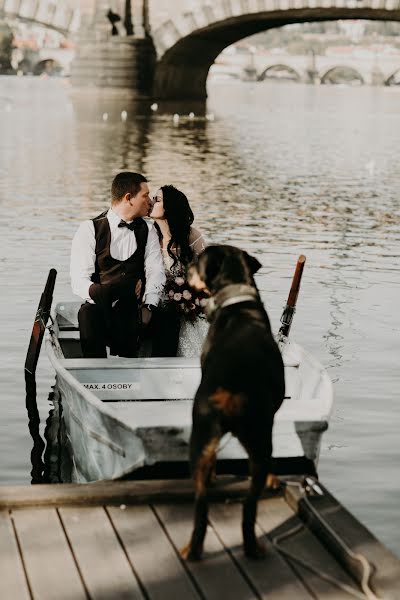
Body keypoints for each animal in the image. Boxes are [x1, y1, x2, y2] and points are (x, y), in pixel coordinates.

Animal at [181, 245, 284, 564]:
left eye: (197, 262)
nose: (187, 267)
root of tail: (231, 387)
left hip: (199, 442)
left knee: (202, 506)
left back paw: (193, 549)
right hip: (259, 444)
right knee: (248, 507)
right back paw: (251, 547)